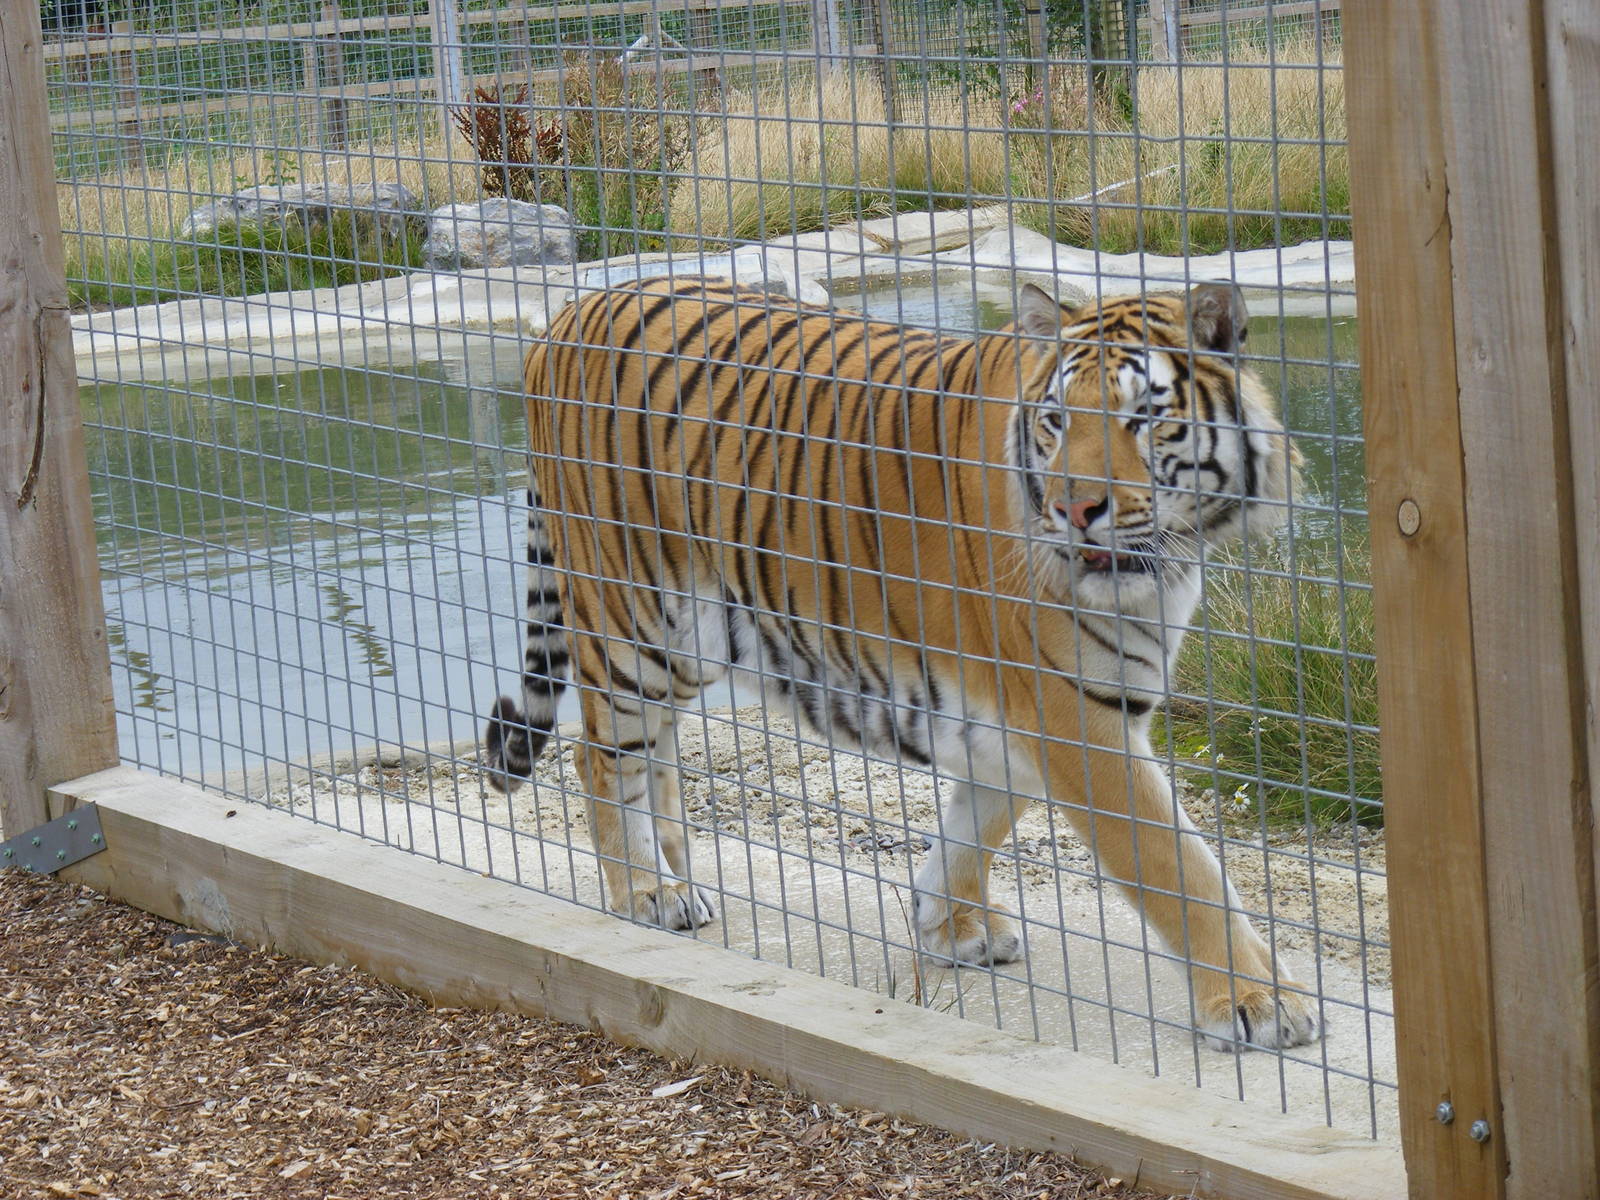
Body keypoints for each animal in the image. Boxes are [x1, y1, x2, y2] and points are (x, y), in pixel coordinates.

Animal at [482, 274, 1321, 1052]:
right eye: (1058, 419)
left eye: (1143, 418)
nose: (1074, 510)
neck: (1165, 560)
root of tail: (566, 313)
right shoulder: (1072, 714)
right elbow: (1179, 867)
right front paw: (1260, 1003)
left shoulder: (1036, 705)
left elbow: (979, 818)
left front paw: (947, 924)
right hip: (630, 617)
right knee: (600, 756)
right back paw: (645, 893)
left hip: (685, 642)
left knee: (653, 752)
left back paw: (679, 882)